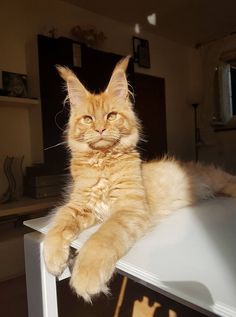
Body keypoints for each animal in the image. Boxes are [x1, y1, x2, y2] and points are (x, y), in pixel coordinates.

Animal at [43, 55, 236, 302]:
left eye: (111, 116)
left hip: (219, 179)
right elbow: (58, 224)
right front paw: (53, 257)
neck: (103, 162)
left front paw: (86, 275)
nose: (100, 129)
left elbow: (101, 238)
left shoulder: (129, 209)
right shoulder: (80, 203)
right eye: (87, 119)